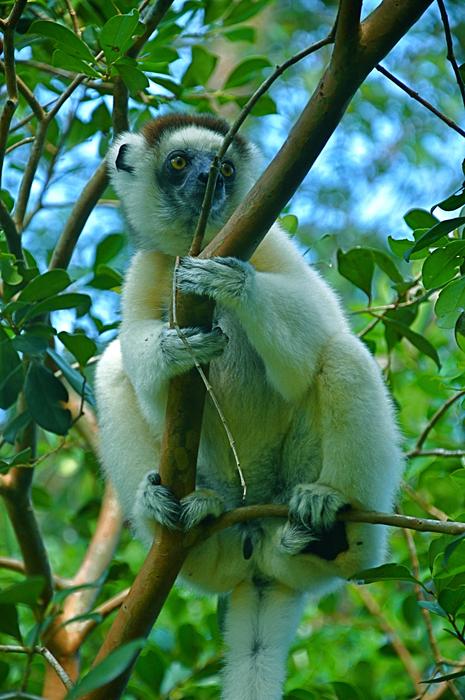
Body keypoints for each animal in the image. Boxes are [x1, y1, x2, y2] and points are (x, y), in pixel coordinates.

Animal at [95, 113, 403, 700]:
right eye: (179, 163)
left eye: (225, 169)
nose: (207, 180)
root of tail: (260, 548)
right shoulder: (151, 267)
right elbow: (143, 366)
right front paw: (174, 348)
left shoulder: (267, 240)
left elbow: (307, 350)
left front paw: (232, 284)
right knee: (111, 370)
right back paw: (176, 510)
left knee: (341, 352)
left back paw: (328, 514)